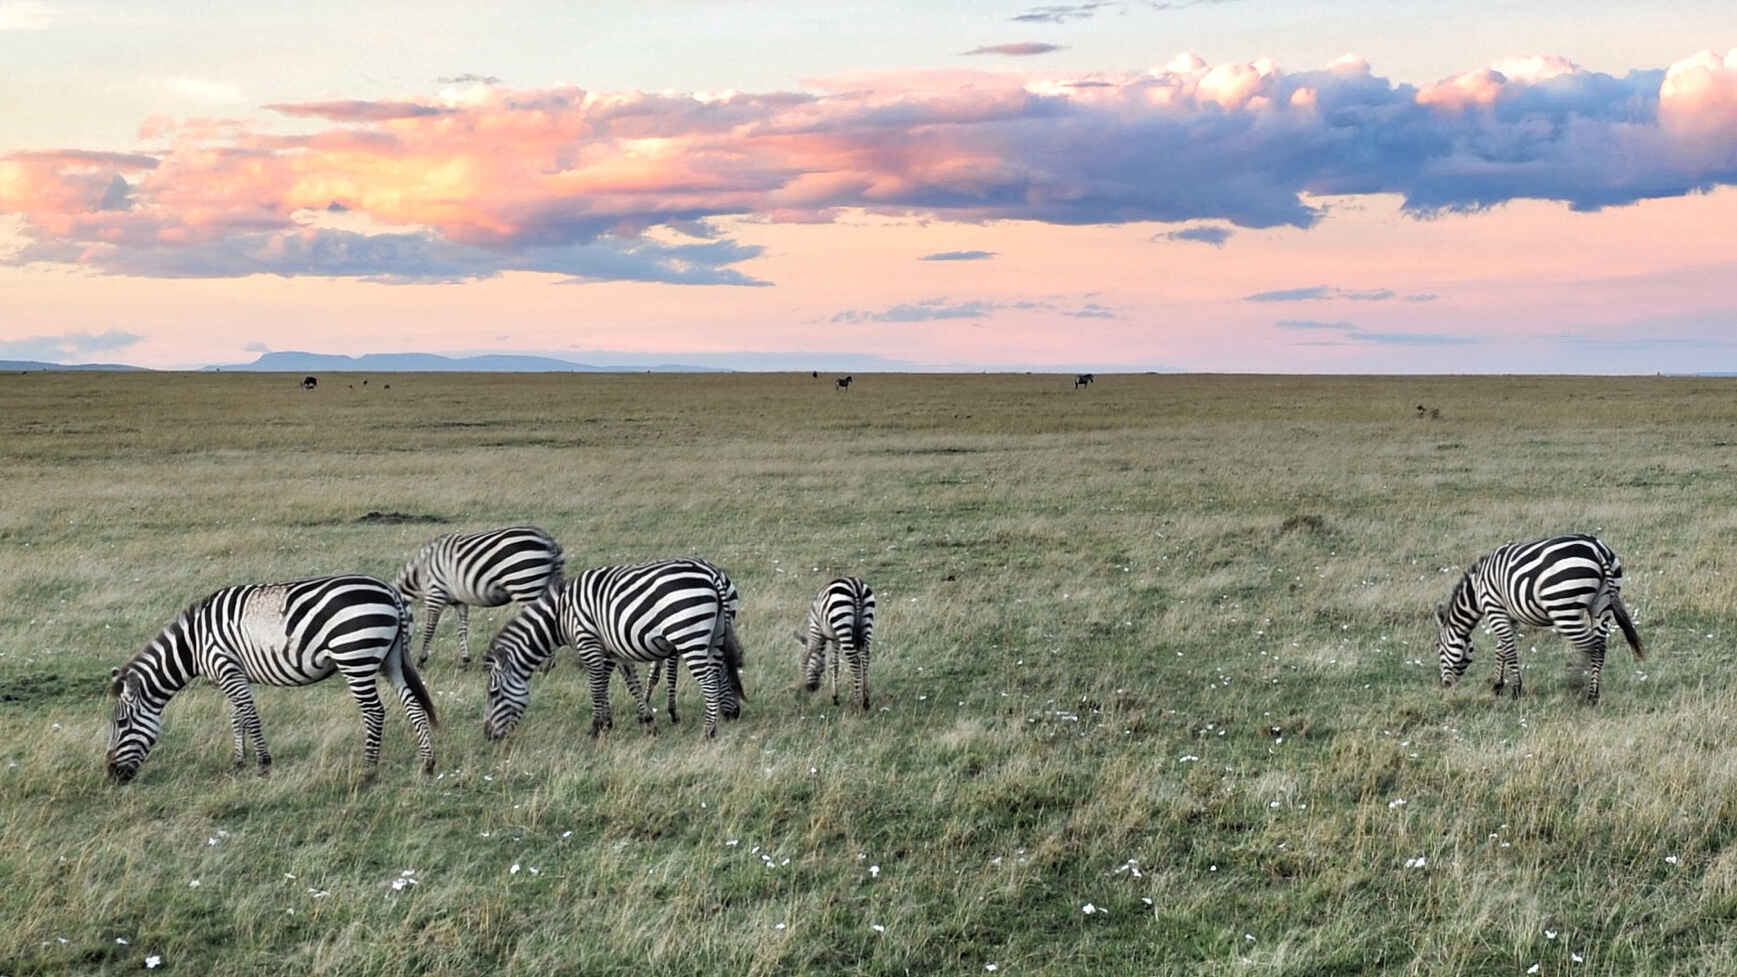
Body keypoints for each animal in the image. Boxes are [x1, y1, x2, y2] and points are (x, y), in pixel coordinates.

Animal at [105, 574, 437, 783]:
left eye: (120, 723)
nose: (112, 775)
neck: (195, 642)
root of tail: (390, 592)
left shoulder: (226, 666)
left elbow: (250, 716)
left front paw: (263, 765)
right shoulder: (234, 672)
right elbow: (236, 717)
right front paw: (239, 762)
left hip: (355, 656)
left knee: (374, 712)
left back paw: (368, 770)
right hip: (390, 659)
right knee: (412, 704)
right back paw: (427, 763)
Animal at [393, 526, 565, 668]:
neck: (419, 573)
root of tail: (547, 540)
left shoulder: (435, 594)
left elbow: (429, 629)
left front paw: (421, 660)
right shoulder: (459, 601)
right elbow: (462, 630)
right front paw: (465, 661)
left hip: (526, 584)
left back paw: (543, 665)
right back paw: (549, 664)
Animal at [483, 558, 747, 740]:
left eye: (493, 694)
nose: (488, 736)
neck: (560, 616)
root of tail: (711, 575)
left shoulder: (588, 641)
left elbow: (596, 685)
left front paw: (596, 728)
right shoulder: (613, 649)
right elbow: (629, 683)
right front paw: (645, 721)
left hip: (688, 634)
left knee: (708, 681)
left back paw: (709, 731)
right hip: (715, 635)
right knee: (721, 670)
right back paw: (724, 715)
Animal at [796, 577, 876, 710]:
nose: (811, 688)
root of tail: (856, 585)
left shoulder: (815, 632)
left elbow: (806, 656)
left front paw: (800, 686)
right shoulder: (835, 639)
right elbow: (835, 664)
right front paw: (835, 698)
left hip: (842, 621)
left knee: (854, 661)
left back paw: (856, 704)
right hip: (867, 623)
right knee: (865, 658)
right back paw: (865, 701)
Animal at [1435, 533, 1644, 703]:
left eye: (1439, 648)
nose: (1444, 686)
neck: (1477, 591)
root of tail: (1597, 548)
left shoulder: (1494, 608)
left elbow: (1508, 650)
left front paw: (1516, 691)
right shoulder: (1510, 615)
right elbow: (1501, 649)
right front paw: (1497, 686)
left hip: (1563, 608)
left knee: (1589, 645)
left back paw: (1574, 685)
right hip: (1603, 603)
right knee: (1599, 649)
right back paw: (1593, 695)